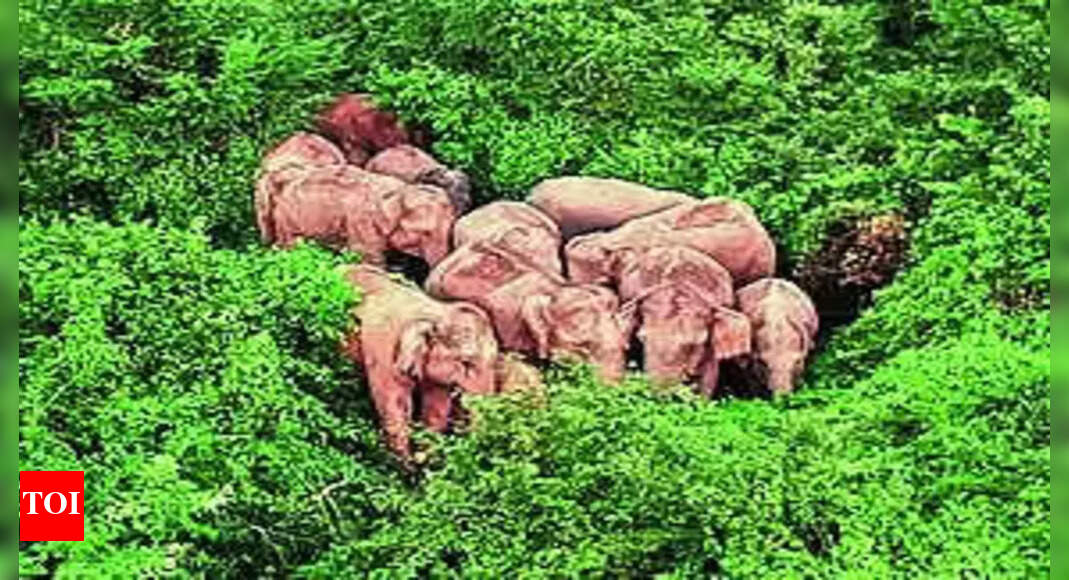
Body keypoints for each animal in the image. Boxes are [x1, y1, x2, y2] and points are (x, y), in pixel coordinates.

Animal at [258, 165, 455, 266]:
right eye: (426, 233)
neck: (401, 190)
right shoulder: (362, 222)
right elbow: (368, 258)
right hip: (287, 217)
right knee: (290, 245)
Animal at [340, 264, 499, 457]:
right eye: (465, 362)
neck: (438, 312)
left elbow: (436, 407)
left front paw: (424, 456)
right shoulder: (384, 347)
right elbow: (395, 401)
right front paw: (403, 462)